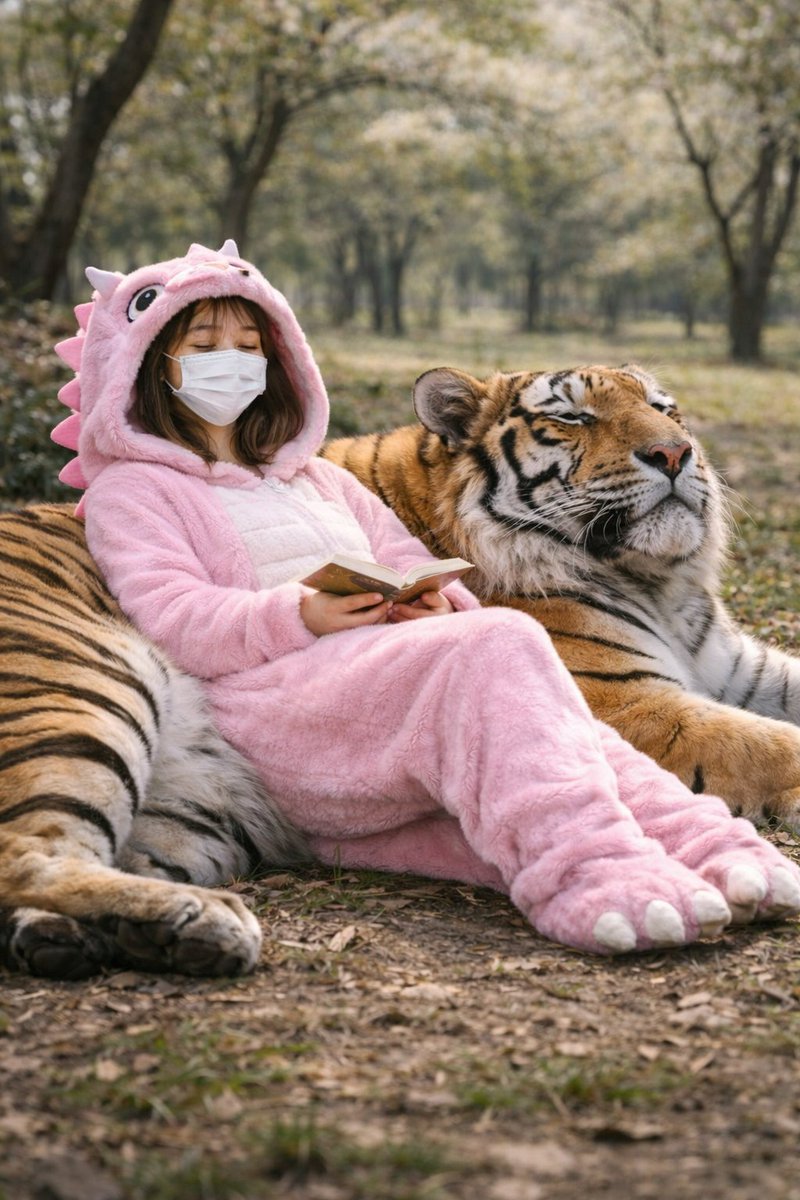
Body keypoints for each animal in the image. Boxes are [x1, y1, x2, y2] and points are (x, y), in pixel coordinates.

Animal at [321, 363, 800, 828]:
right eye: (573, 417)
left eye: (661, 407)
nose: (674, 453)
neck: (656, 584)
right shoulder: (627, 701)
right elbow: (775, 747)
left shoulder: (737, 667)